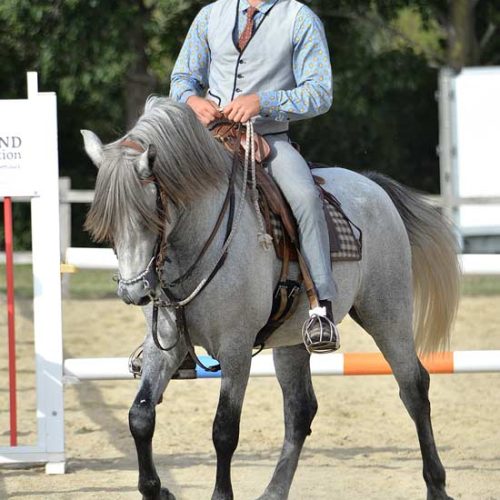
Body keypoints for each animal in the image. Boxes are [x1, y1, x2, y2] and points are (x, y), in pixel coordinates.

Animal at [81, 95, 460, 498]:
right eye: (108, 224)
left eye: (147, 216)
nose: (134, 291)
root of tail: (372, 186)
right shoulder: (164, 345)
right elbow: (140, 416)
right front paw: (157, 489)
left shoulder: (235, 348)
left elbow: (224, 429)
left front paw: (220, 494)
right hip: (293, 340)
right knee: (300, 410)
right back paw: (275, 490)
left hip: (387, 315)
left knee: (414, 388)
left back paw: (436, 485)